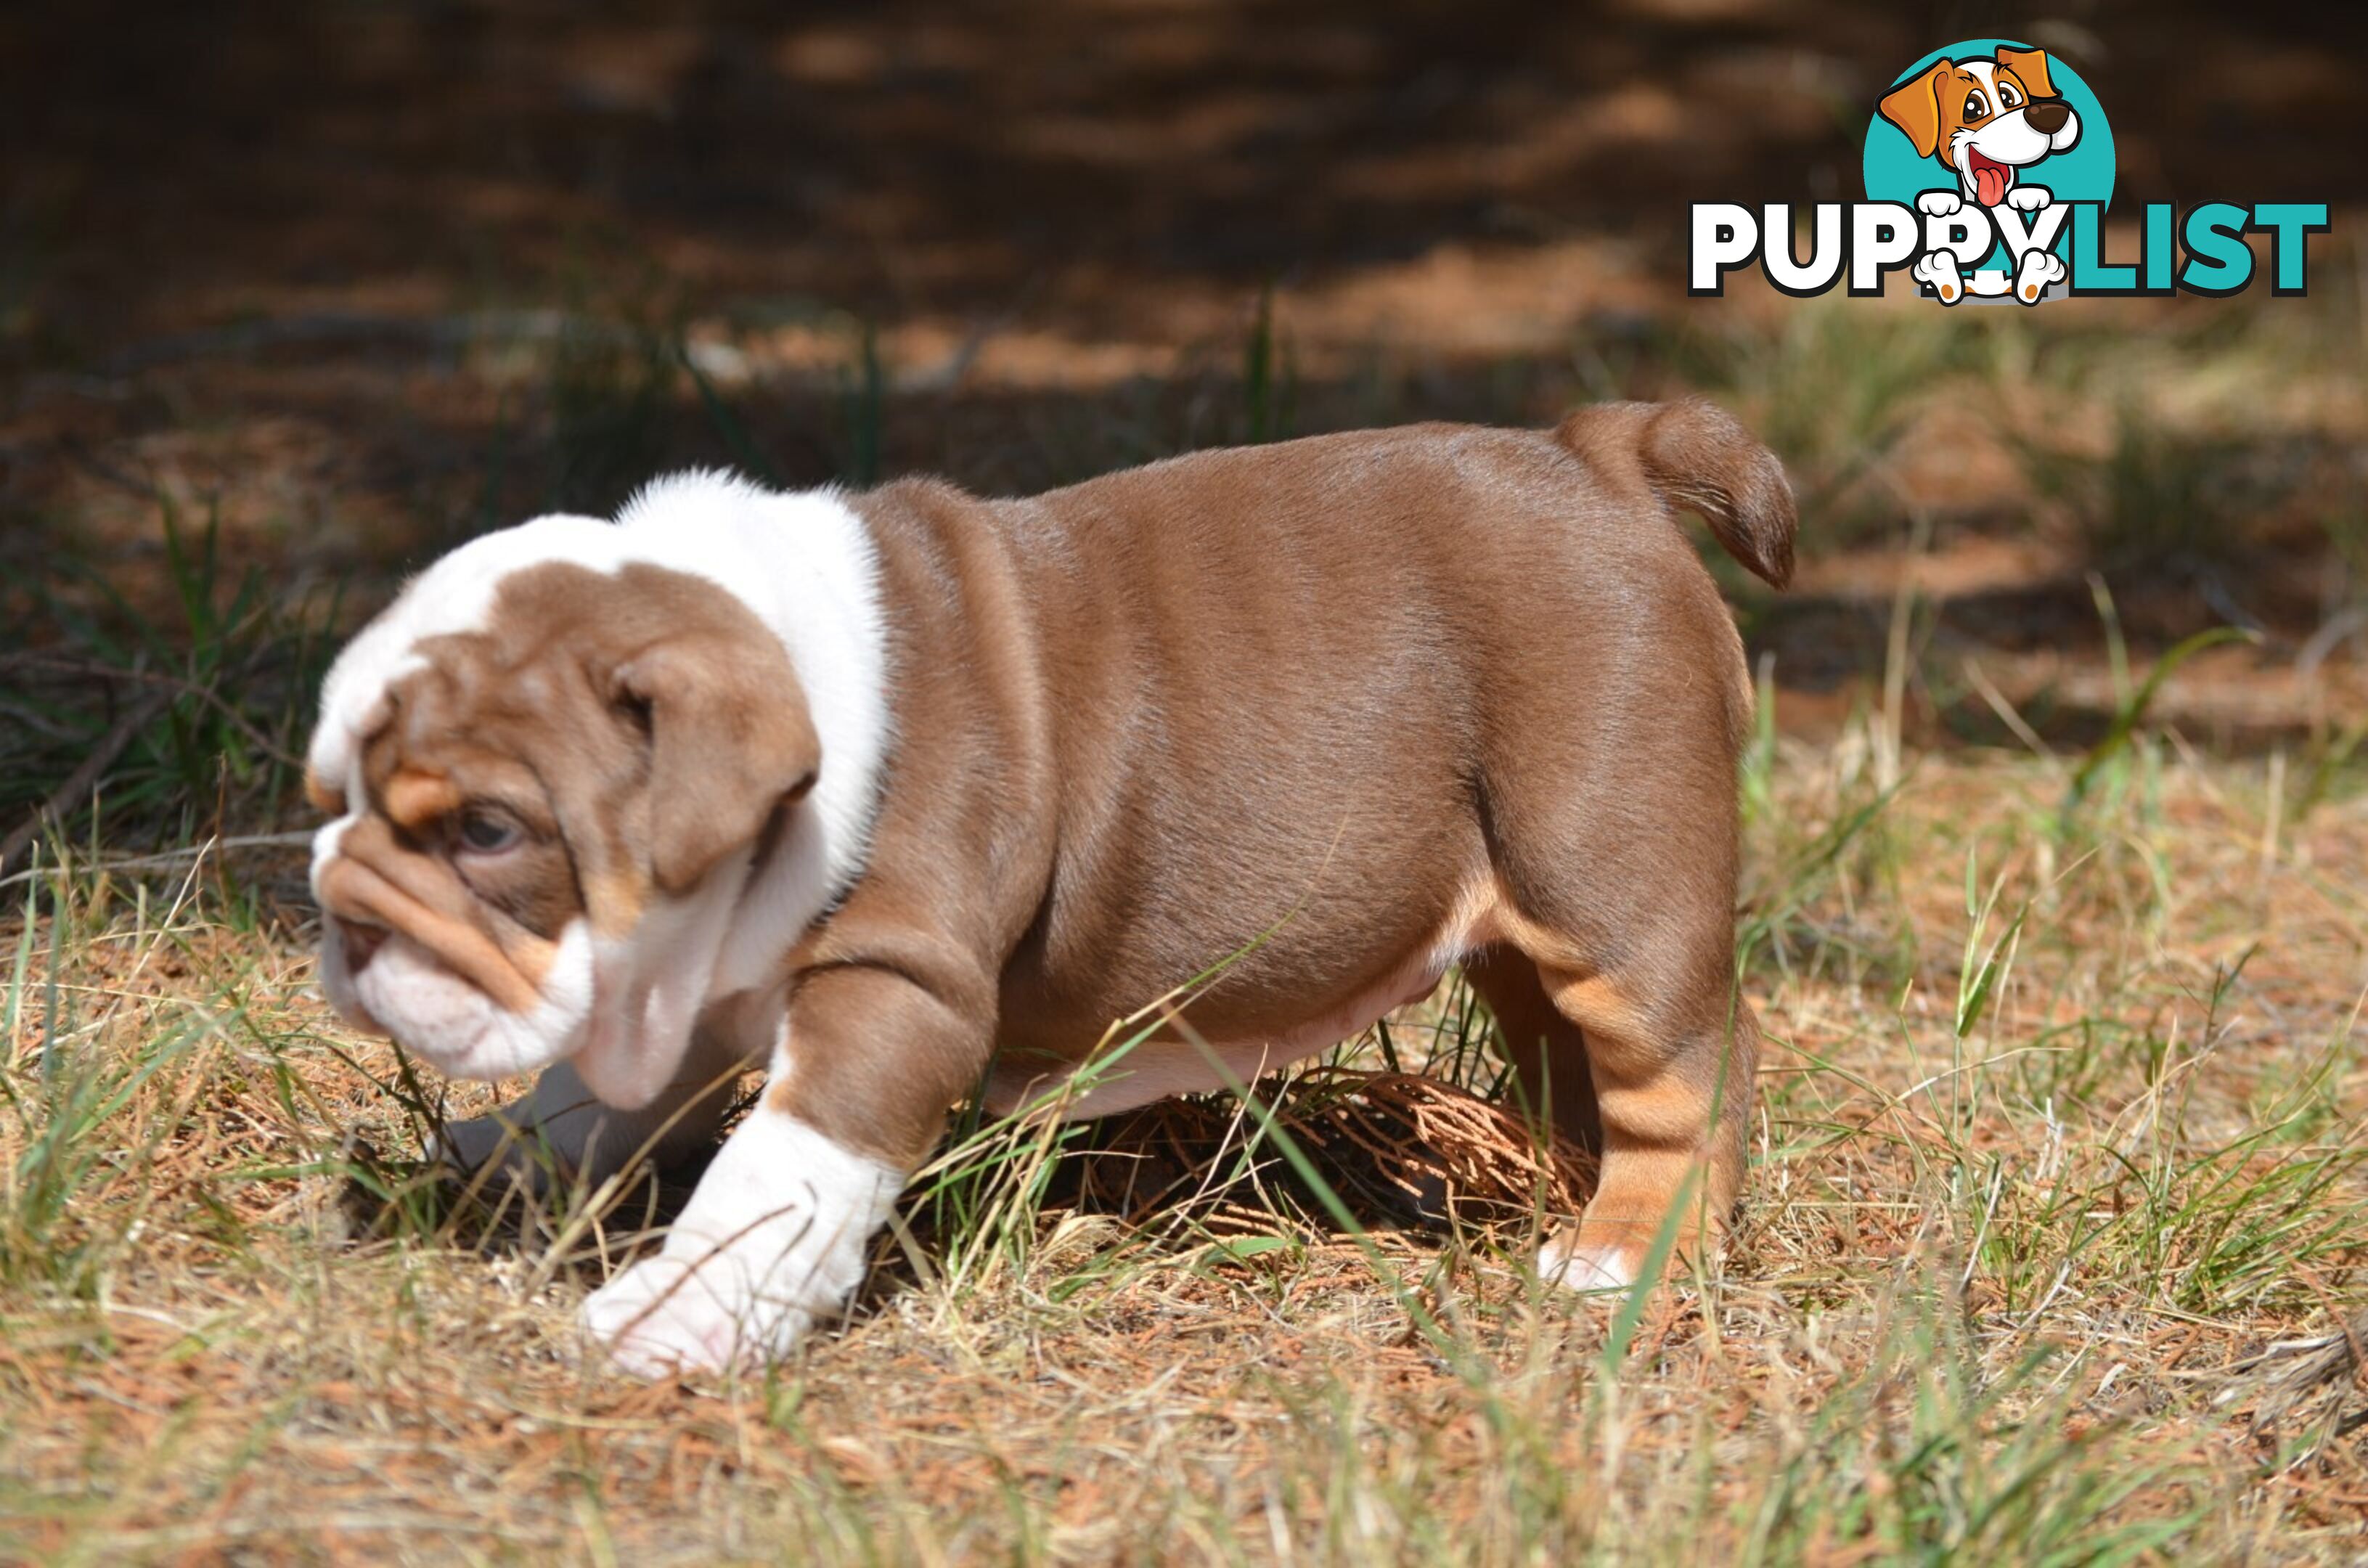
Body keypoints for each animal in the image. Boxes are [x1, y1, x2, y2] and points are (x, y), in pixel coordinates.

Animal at [310, 400, 1790, 1383]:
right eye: (333, 790)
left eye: (490, 830)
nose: (343, 920)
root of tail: (1600, 458)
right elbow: (615, 1090)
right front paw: (509, 1147)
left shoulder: (893, 987)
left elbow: (778, 1168)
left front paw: (678, 1314)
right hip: (1519, 926)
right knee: (1569, 1065)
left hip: (1606, 871)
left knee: (1687, 1078)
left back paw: (1622, 1260)